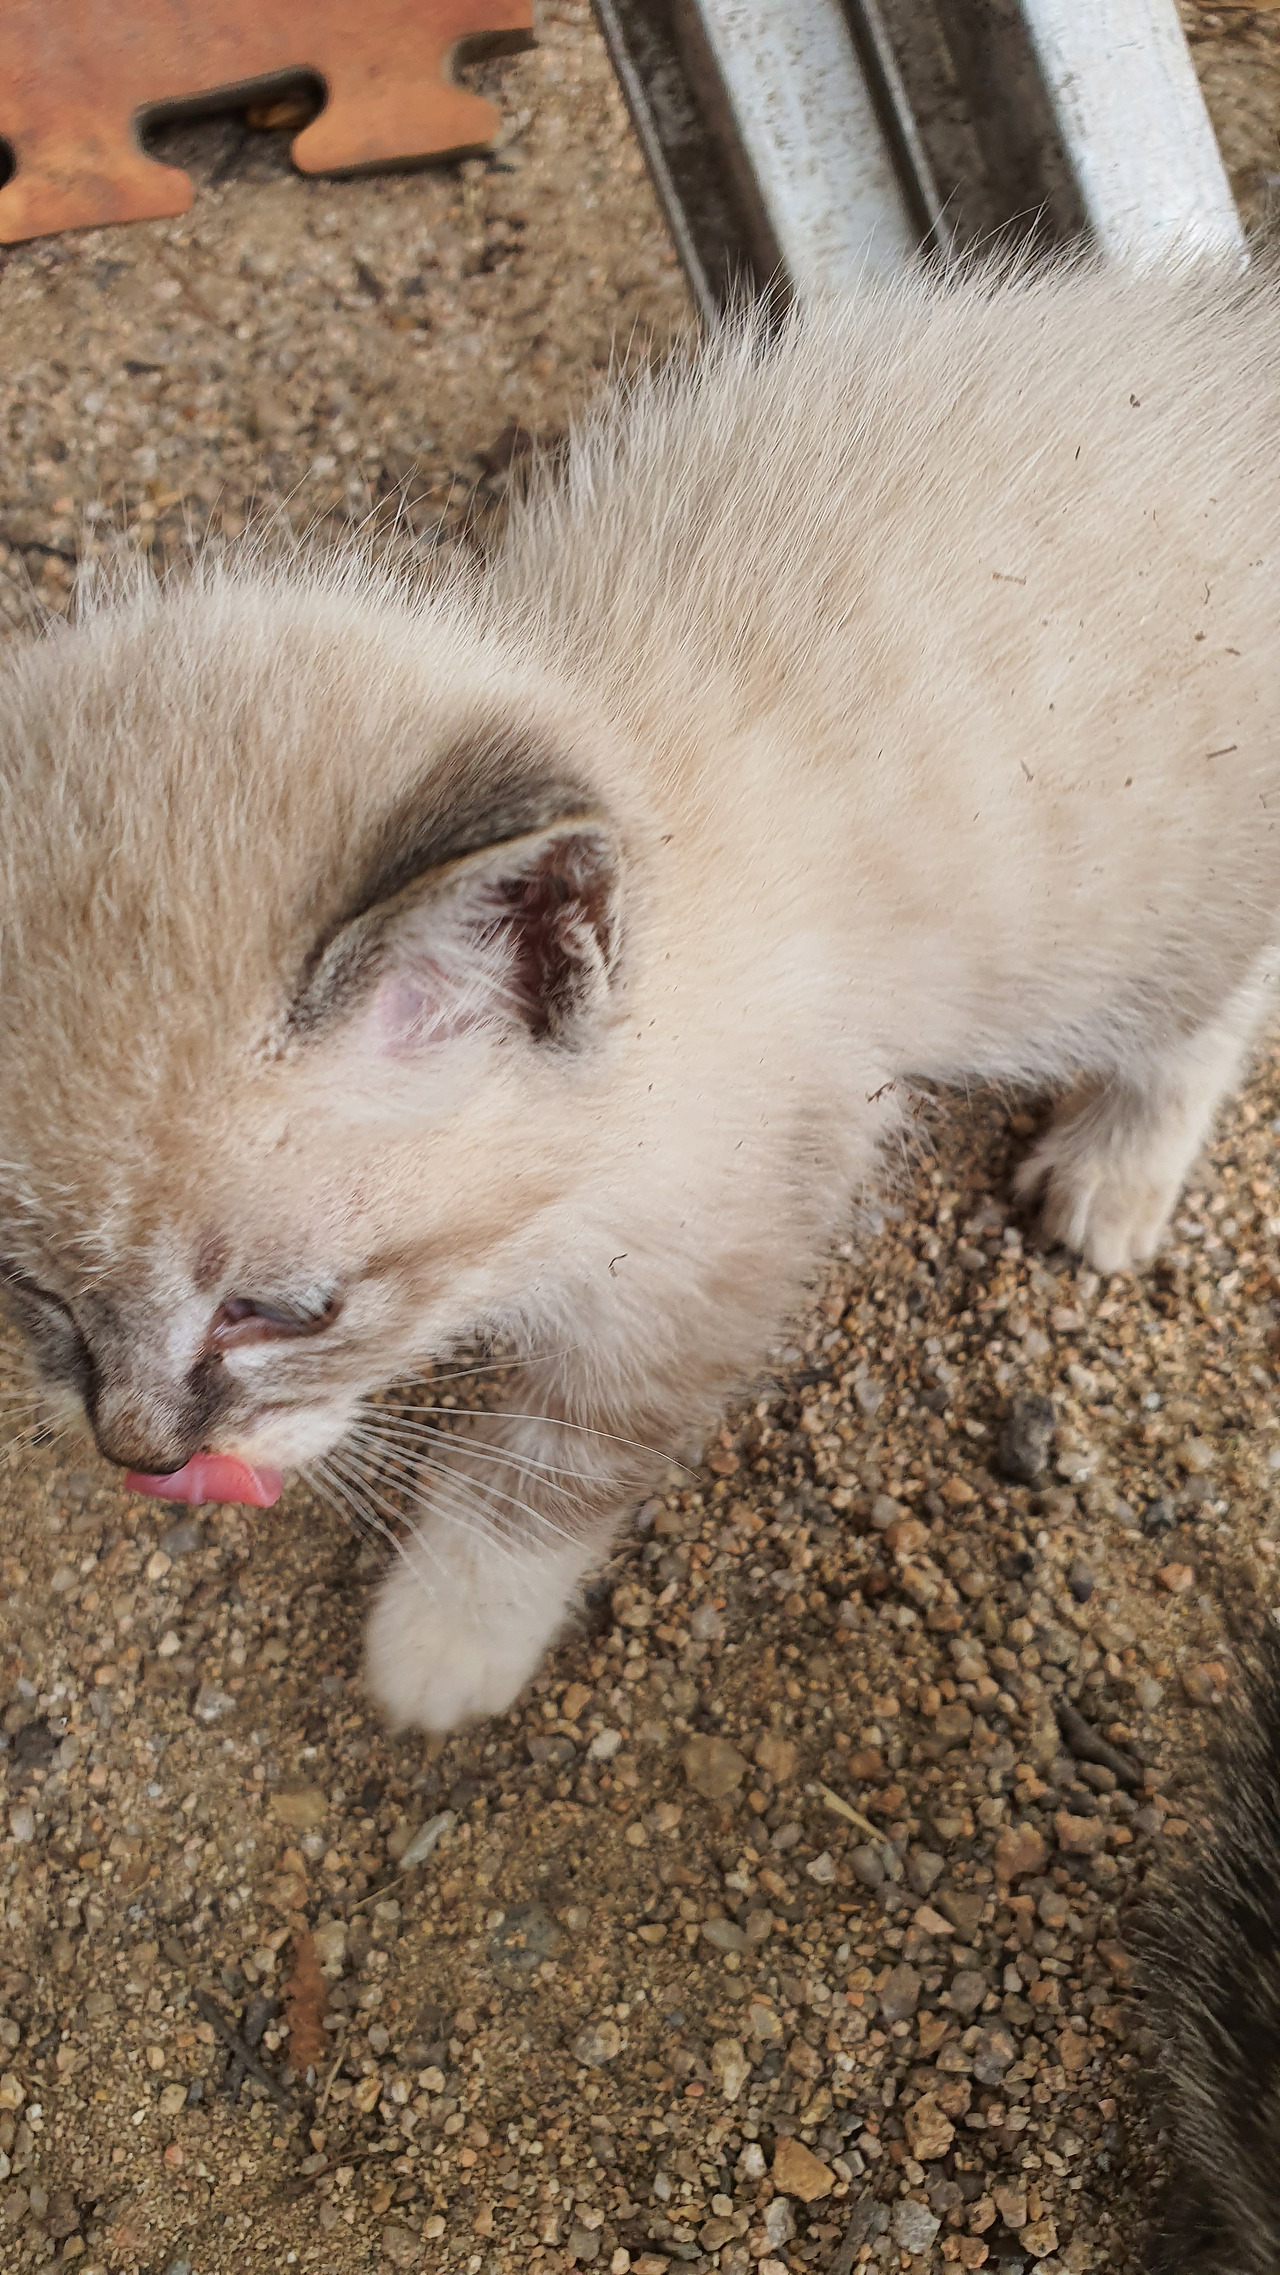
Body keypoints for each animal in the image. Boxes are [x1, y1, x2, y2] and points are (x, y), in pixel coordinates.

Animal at [0, 254, 1277, 1744]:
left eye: (279, 1309)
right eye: (30, 1287)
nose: (141, 1453)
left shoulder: (719, 1254)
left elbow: (552, 1467)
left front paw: (445, 1640)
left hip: (1144, 902)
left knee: (1210, 997)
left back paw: (1116, 1169)